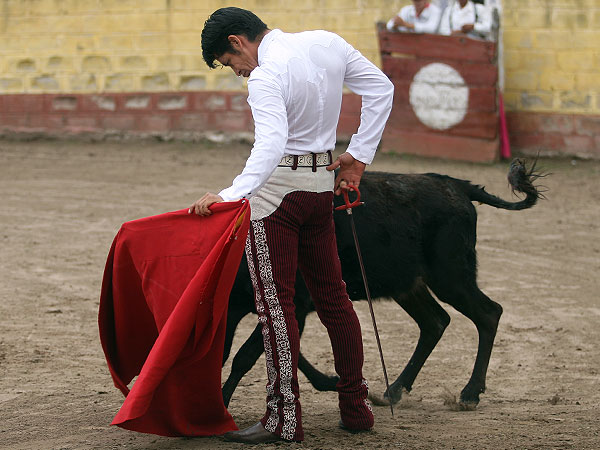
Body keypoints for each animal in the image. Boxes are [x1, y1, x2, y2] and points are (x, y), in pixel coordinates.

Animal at [220, 160, 544, 410]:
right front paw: (333, 381)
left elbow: (246, 355)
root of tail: (456, 186)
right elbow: (284, 351)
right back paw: (394, 390)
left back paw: (470, 394)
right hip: (409, 284)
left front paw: (222, 403)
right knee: (435, 321)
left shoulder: (295, 304)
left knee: (488, 313)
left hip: (451, 276)